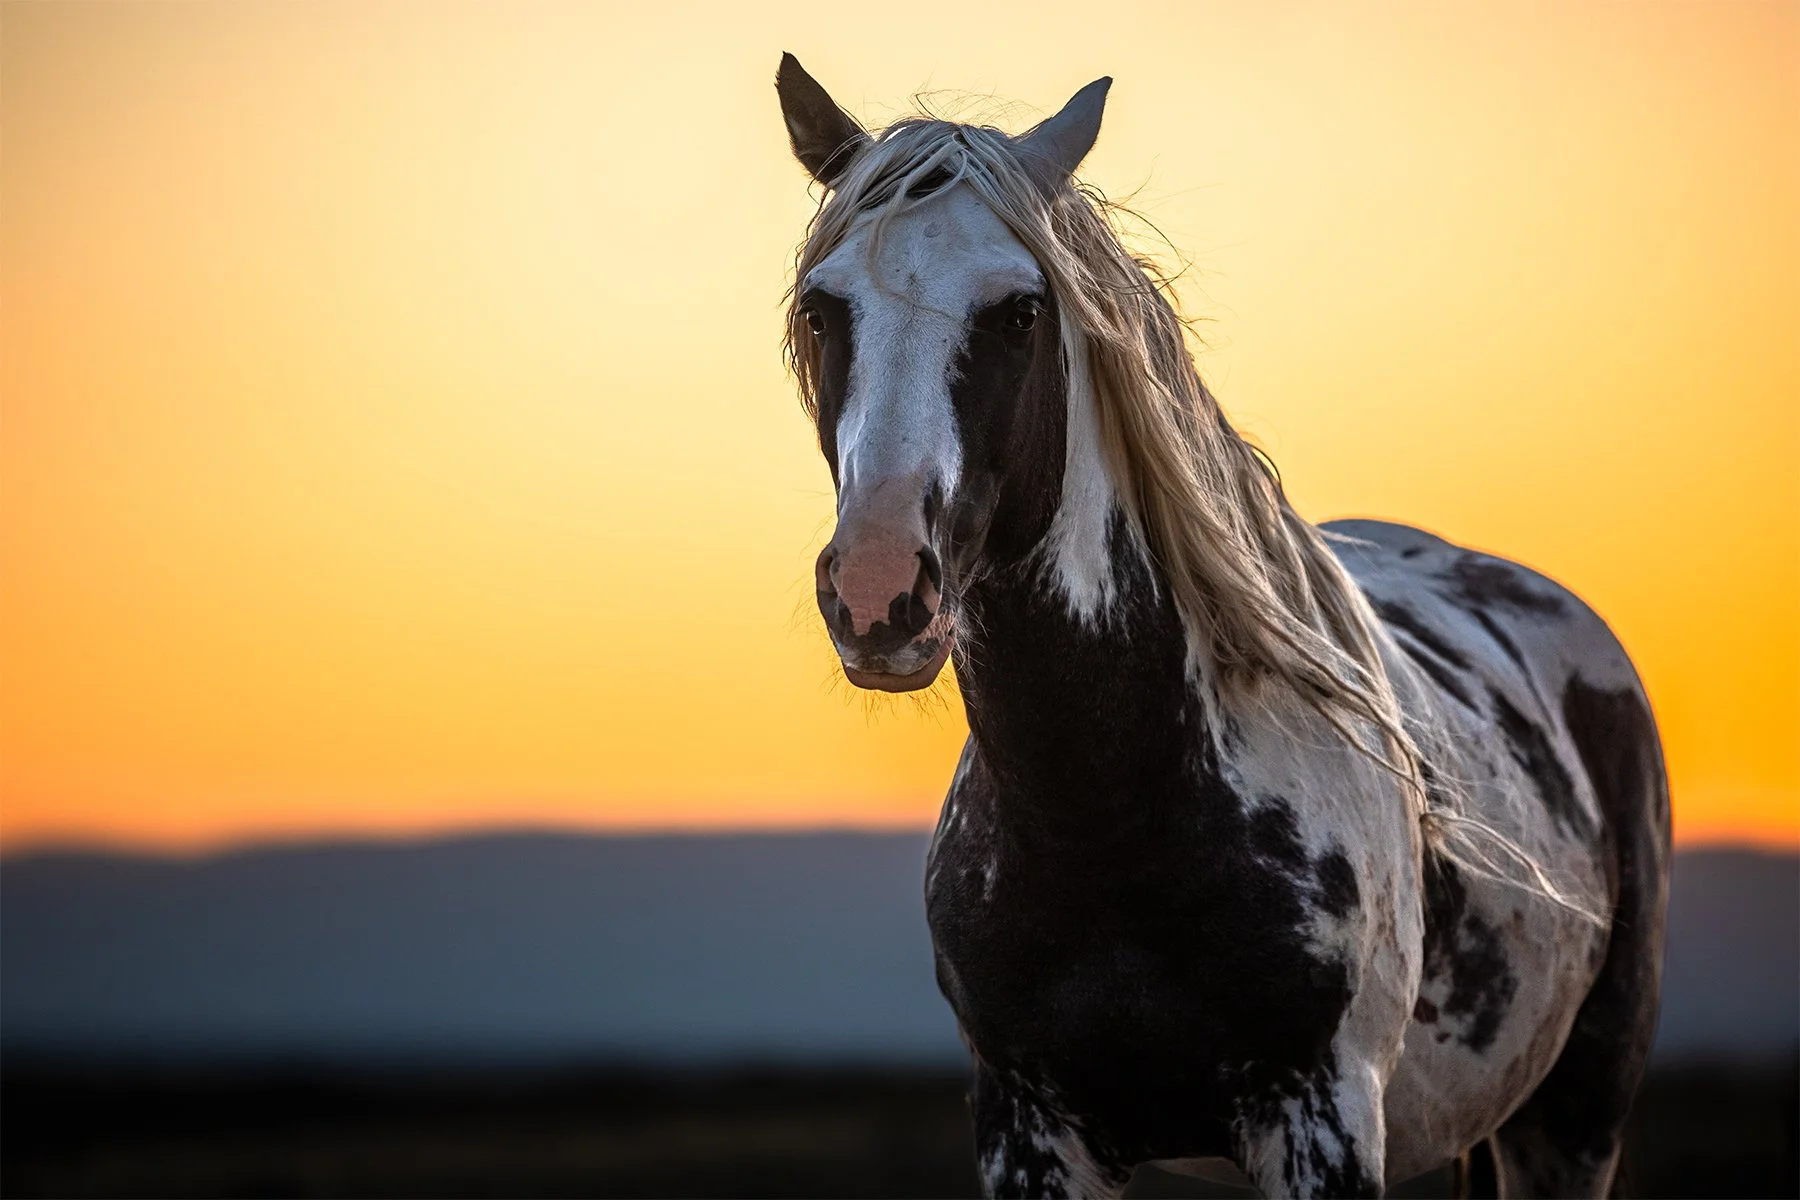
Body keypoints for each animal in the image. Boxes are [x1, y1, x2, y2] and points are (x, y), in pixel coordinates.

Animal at [773, 54, 1670, 1199]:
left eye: (1020, 312)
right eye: (820, 310)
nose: (881, 589)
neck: (1112, 809)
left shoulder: (1320, 1120)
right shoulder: (1029, 1132)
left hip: (1576, 1113)